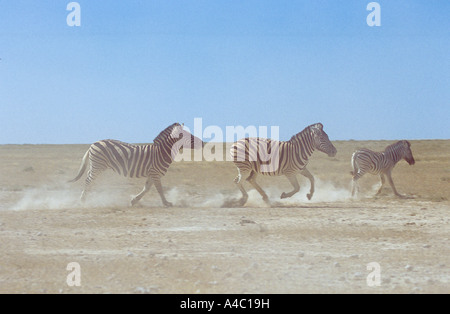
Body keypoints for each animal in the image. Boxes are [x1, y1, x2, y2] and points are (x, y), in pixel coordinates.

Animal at [67, 122, 203, 206]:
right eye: (187, 135)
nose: (202, 143)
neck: (161, 152)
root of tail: (93, 144)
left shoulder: (152, 173)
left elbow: (146, 188)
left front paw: (134, 201)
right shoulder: (155, 172)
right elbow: (159, 189)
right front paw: (166, 203)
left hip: (96, 165)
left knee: (89, 179)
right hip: (98, 165)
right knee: (88, 180)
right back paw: (82, 201)